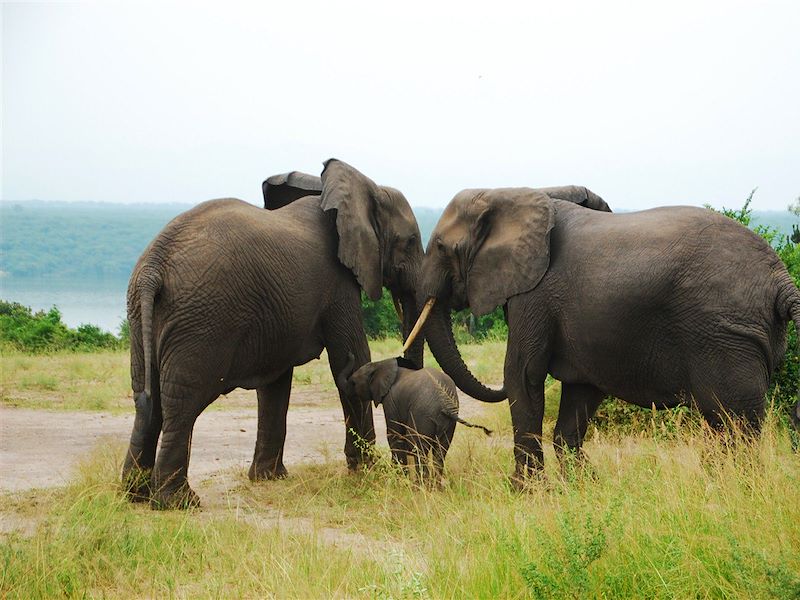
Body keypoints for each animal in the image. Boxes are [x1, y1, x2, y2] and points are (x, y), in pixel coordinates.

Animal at [123, 159, 424, 506]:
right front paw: (368, 472)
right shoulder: (338, 283)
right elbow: (350, 357)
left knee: (147, 399)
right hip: (200, 323)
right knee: (181, 404)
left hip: (143, 314)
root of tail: (154, 267)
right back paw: (180, 503)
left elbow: (276, 381)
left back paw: (135, 496)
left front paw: (269, 478)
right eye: (410, 241)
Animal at [336, 356, 488, 482]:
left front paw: (399, 480)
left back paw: (420, 486)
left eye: (353, 383)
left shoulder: (390, 401)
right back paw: (436, 486)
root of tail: (445, 406)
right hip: (449, 423)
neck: (381, 364)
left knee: (418, 447)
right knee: (441, 450)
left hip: (423, 414)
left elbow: (394, 436)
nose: (350, 355)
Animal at [406, 190, 800, 486]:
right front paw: (581, 487)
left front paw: (525, 492)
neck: (511, 195)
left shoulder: (535, 295)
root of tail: (782, 280)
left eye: (440, 248)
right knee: (731, 425)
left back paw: (727, 488)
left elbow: (522, 374)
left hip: (724, 335)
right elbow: (582, 390)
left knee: (734, 425)